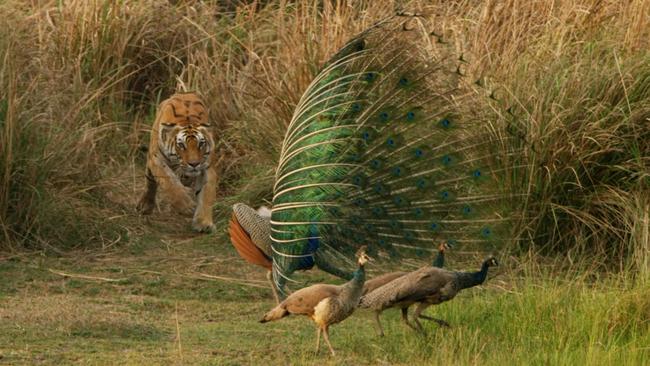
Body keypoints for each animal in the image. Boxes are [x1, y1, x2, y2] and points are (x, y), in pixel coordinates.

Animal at [137, 93, 218, 233]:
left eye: (201, 144)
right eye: (181, 145)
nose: (194, 164)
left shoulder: (207, 167)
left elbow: (206, 194)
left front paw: (203, 223)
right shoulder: (157, 160)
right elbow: (170, 183)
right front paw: (186, 206)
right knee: (150, 180)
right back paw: (145, 205)